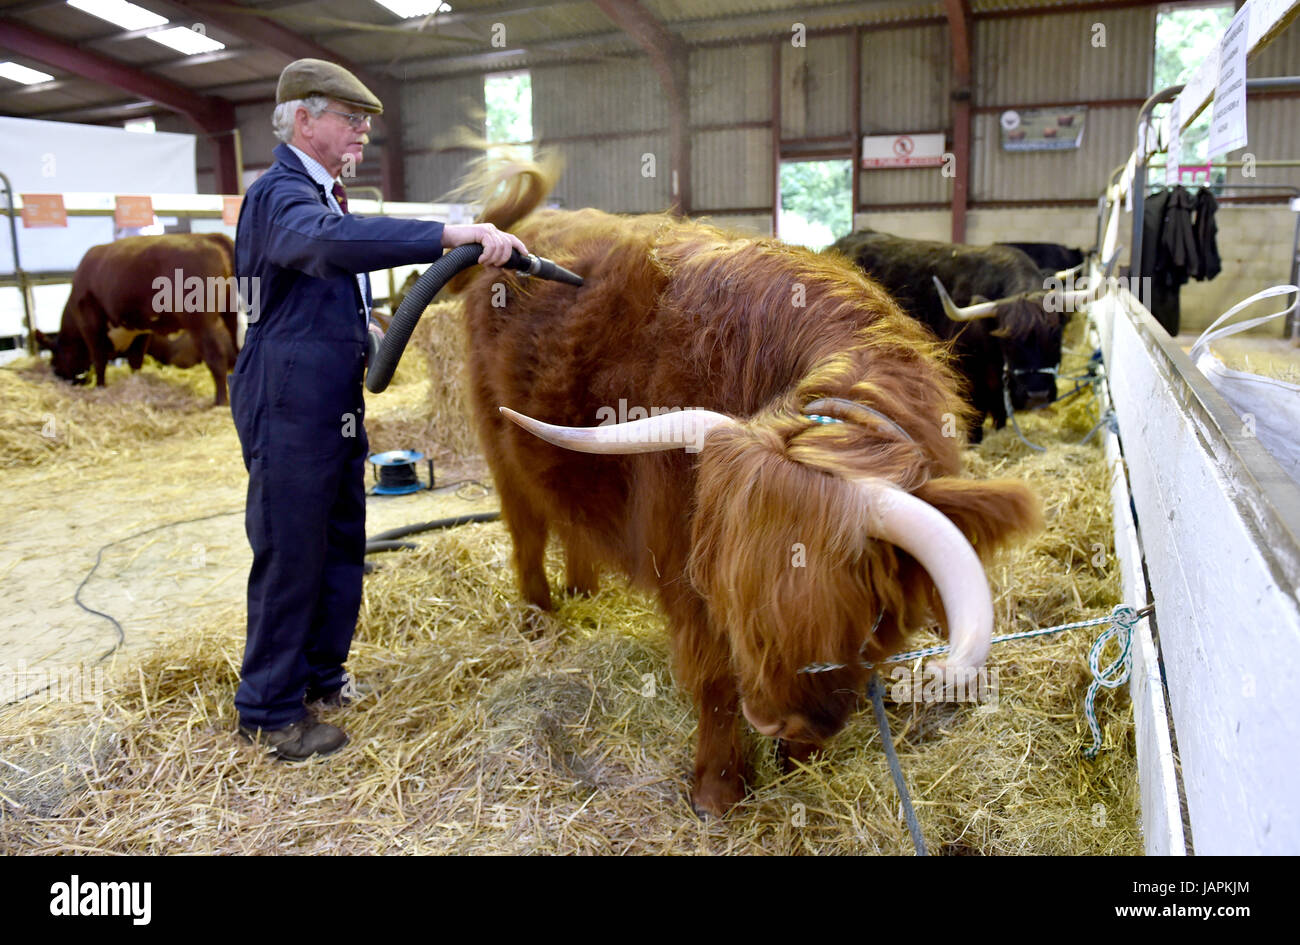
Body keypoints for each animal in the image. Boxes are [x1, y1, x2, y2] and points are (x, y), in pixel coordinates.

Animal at [36, 235, 241, 405]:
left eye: (54, 361)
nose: (60, 376)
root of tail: (208, 237)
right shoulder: (141, 329)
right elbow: (135, 360)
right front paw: (136, 383)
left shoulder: (91, 325)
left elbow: (99, 360)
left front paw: (100, 387)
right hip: (231, 316)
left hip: (200, 322)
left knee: (216, 356)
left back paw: (220, 401)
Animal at [452, 162, 1040, 811]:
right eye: (728, 596)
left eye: (864, 616)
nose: (770, 719)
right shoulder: (681, 563)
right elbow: (712, 677)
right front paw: (718, 789)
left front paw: (799, 763)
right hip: (498, 444)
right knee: (527, 531)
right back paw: (539, 615)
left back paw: (584, 591)